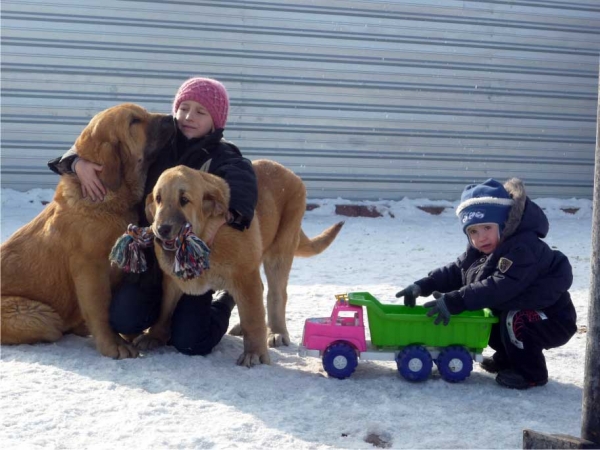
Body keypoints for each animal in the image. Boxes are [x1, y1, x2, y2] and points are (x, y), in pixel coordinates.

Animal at [1, 103, 176, 358]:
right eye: (134, 121)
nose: (172, 118)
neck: (107, 199)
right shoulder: (90, 269)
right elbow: (100, 308)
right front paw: (112, 345)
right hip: (40, 316)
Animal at [137, 161, 342, 366]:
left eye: (184, 200)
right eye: (158, 199)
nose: (161, 229)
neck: (204, 241)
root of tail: (289, 172)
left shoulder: (245, 277)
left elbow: (252, 318)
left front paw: (254, 352)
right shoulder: (172, 281)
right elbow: (165, 309)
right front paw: (154, 335)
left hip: (279, 253)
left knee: (276, 295)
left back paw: (276, 332)